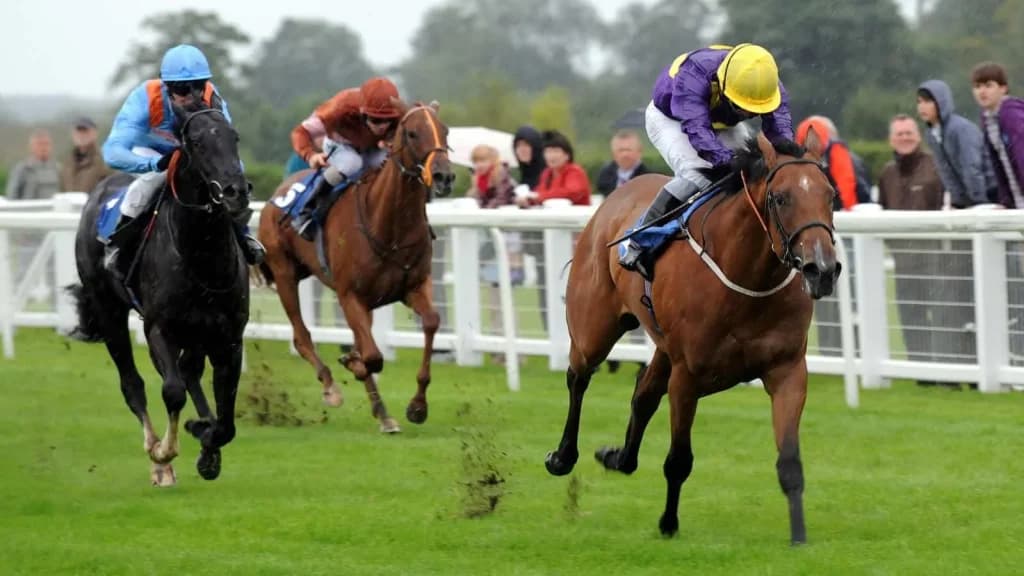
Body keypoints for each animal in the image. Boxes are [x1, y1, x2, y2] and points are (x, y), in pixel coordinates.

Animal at [68, 99, 251, 487]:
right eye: (196, 142)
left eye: (234, 137)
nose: (236, 192)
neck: (201, 255)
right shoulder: (160, 328)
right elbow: (172, 391)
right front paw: (165, 452)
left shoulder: (228, 336)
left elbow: (226, 418)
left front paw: (207, 442)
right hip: (110, 313)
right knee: (133, 384)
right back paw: (159, 462)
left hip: (196, 332)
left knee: (188, 371)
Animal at [257, 99, 454, 433]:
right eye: (413, 133)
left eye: (445, 130)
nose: (444, 176)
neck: (389, 225)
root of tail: (278, 192)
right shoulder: (350, 295)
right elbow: (372, 356)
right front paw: (352, 362)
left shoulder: (414, 285)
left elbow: (430, 322)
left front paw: (417, 406)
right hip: (284, 273)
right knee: (301, 336)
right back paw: (331, 387)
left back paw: (383, 414)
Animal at [544, 133, 841, 545]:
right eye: (780, 198)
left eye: (830, 195)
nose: (822, 269)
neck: (747, 278)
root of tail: (616, 197)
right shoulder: (687, 376)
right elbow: (679, 460)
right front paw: (669, 523)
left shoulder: (788, 371)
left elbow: (790, 462)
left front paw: (799, 535)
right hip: (594, 328)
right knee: (579, 376)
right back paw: (562, 456)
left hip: (663, 347)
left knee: (643, 394)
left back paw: (619, 457)